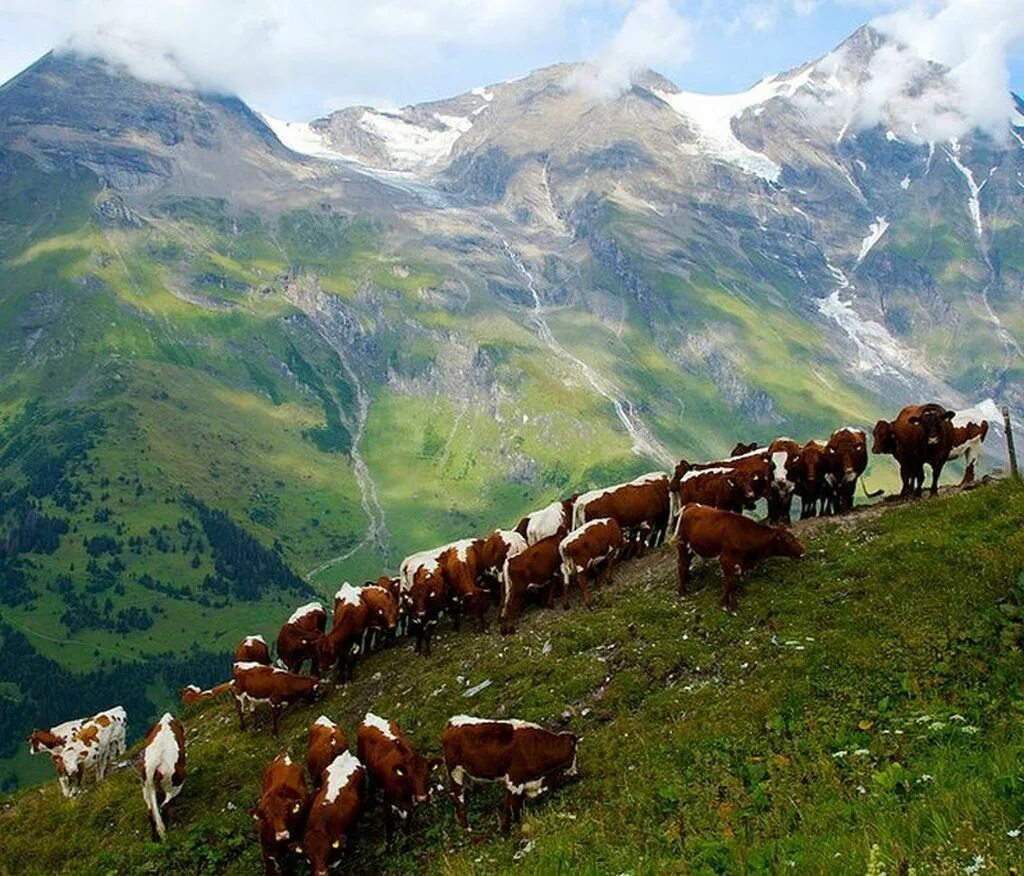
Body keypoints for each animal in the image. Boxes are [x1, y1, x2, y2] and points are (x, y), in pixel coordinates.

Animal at [356, 713, 440, 848]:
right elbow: (389, 826)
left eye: (427, 774)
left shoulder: (411, 805)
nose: (421, 798)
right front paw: (388, 846)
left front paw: (405, 845)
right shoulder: (387, 802)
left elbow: (407, 826)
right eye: (409, 777)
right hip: (364, 763)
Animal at [444, 721, 581, 836]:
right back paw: (467, 828)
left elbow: (518, 803)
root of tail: (452, 722)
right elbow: (511, 805)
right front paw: (506, 831)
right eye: (575, 752)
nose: (575, 773)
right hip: (455, 771)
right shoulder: (514, 780)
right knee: (458, 796)